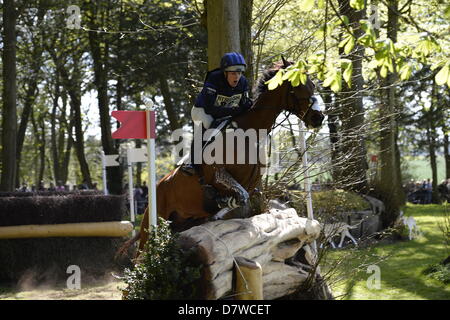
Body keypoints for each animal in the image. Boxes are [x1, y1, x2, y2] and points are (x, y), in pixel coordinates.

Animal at [117, 58, 324, 258]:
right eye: (297, 85)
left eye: (312, 84)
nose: (318, 118)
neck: (249, 134)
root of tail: (158, 186)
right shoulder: (219, 174)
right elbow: (239, 196)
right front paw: (220, 201)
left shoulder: (252, 184)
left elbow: (246, 198)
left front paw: (220, 209)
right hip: (152, 225)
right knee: (139, 259)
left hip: (180, 224)